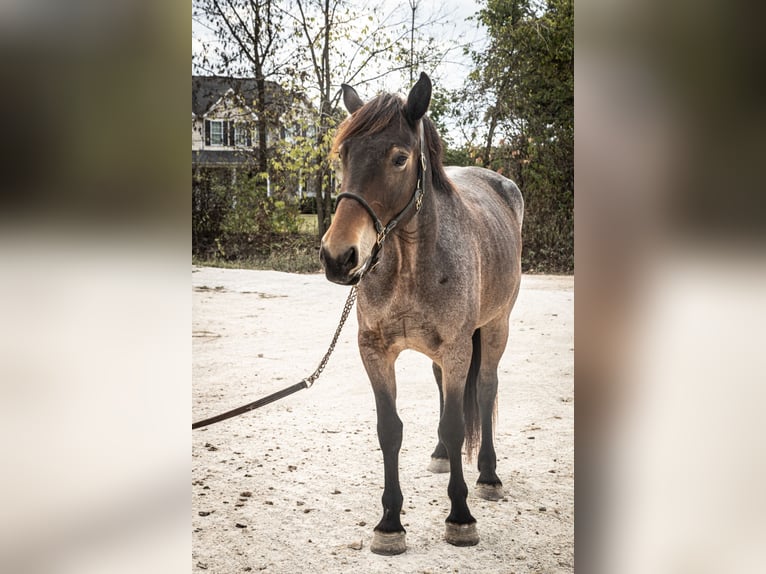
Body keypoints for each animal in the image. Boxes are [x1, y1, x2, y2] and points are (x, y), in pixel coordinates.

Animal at [319, 72, 523, 555]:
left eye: (399, 158)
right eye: (344, 154)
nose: (338, 257)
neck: (409, 265)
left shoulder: (457, 349)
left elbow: (456, 423)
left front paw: (460, 516)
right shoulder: (375, 351)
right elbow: (389, 429)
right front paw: (390, 523)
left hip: (495, 328)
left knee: (485, 390)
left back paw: (488, 475)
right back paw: (440, 457)